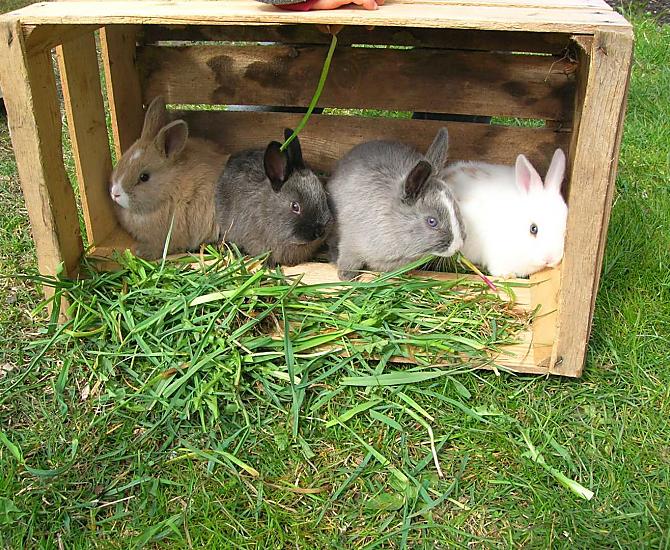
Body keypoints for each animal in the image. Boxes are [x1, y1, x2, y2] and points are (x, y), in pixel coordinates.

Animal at [327, 127, 465, 280]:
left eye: (456, 208)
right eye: (432, 221)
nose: (457, 246)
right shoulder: (350, 245)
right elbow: (349, 261)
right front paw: (346, 277)